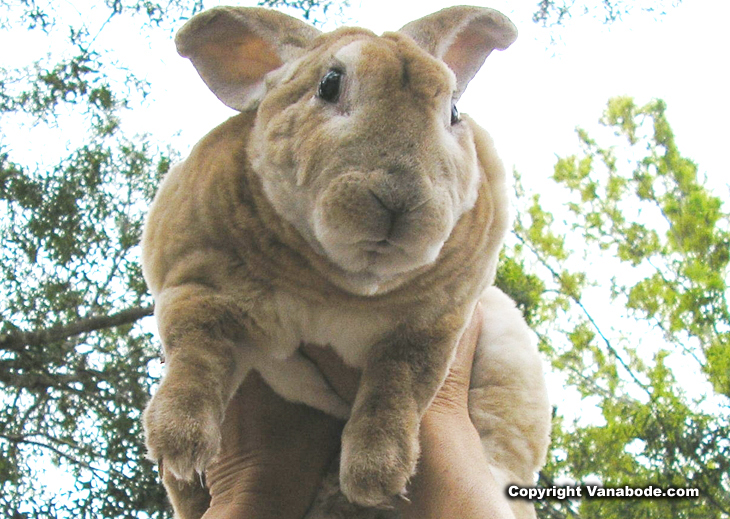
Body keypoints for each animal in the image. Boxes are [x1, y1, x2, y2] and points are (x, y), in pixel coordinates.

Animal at [141, 5, 551, 519]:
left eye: (454, 113)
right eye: (329, 84)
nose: (399, 200)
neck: (342, 287)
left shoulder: (434, 325)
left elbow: (396, 387)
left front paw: (375, 477)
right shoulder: (195, 282)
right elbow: (195, 353)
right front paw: (178, 447)